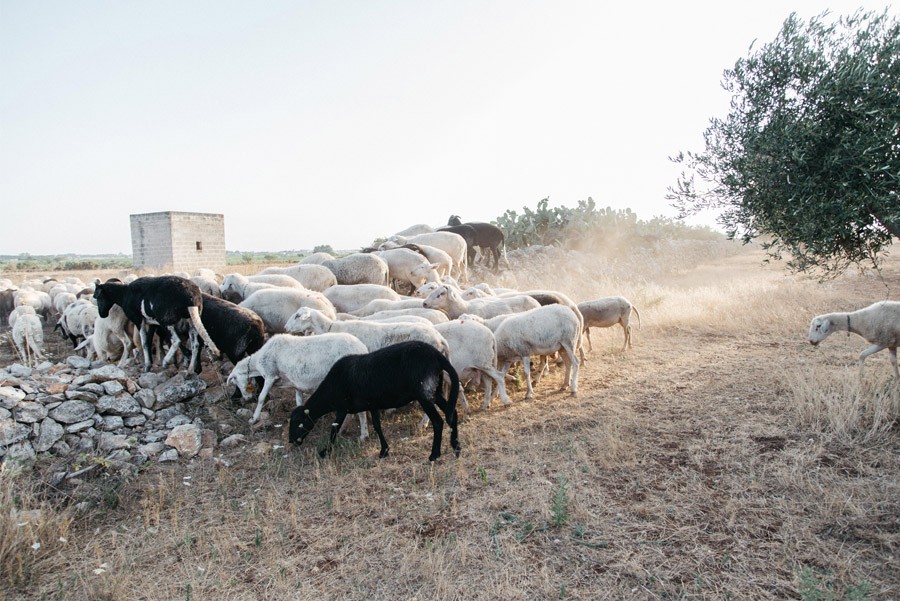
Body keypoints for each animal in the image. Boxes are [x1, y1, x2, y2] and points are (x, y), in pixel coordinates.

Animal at [93, 276, 221, 370]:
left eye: (98, 297)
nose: (102, 314)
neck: (124, 294)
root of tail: (191, 297)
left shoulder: (138, 320)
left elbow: (144, 342)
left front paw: (147, 365)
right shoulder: (152, 323)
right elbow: (148, 341)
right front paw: (149, 363)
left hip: (166, 320)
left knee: (176, 340)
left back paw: (166, 362)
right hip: (191, 320)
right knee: (195, 344)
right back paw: (190, 369)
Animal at [227, 330, 368, 424]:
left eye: (235, 381)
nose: (247, 399)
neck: (257, 363)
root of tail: (362, 348)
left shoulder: (270, 375)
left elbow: (261, 398)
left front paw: (253, 419)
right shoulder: (296, 383)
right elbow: (299, 401)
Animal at [290, 340, 460, 462]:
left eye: (298, 421)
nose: (291, 441)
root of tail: (437, 355)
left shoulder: (342, 408)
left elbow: (334, 429)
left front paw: (325, 451)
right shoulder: (372, 403)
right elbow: (377, 426)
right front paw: (384, 451)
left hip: (424, 392)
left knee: (438, 421)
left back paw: (434, 455)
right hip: (435, 390)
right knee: (453, 414)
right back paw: (456, 447)